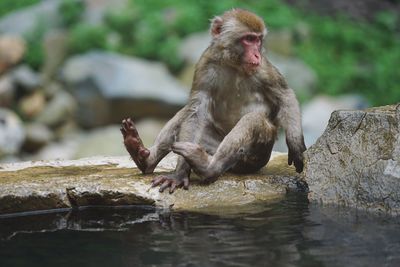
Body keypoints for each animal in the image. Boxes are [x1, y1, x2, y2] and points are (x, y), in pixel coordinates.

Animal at [119, 7, 306, 193]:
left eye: (258, 40)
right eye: (249, 39)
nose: (256, 54)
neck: (233, 63)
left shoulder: (263, 69)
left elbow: (284, 95)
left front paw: (295, 145)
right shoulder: (205, 64)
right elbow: (196, 111)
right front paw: (179, 174)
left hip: (254, 158)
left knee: (254, 120)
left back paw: (209, 168)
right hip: (209, 144)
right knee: (186, 112)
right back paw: (143, 157)